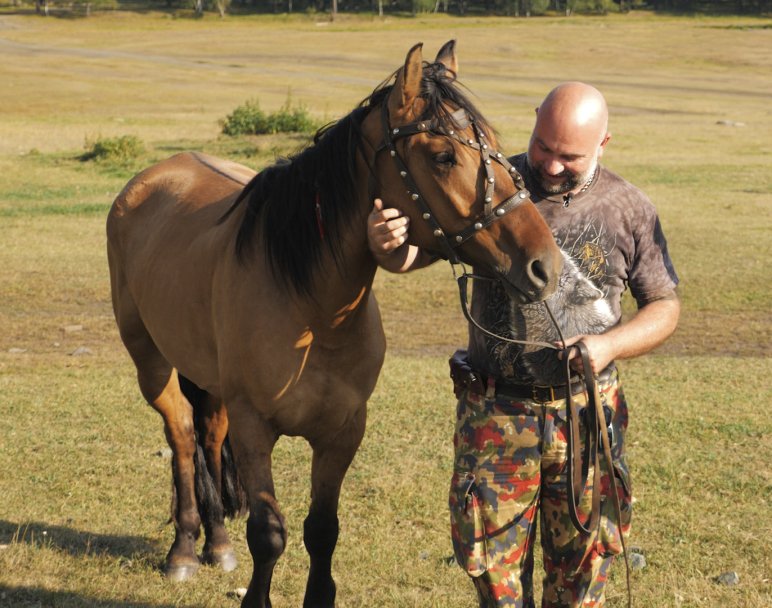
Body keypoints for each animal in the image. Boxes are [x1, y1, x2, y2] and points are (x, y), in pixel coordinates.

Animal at [107, 40, 560, 604]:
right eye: (443, 156)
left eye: (497, 147)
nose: (544, 265)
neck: (312, 310)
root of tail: (149, 180)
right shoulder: (255, 428)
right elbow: (268, 533)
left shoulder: (343, 430)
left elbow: (322, 530)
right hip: (152, 364)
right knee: (184, 438)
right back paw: (185, 550)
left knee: (208, 436)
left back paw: (217, 544)